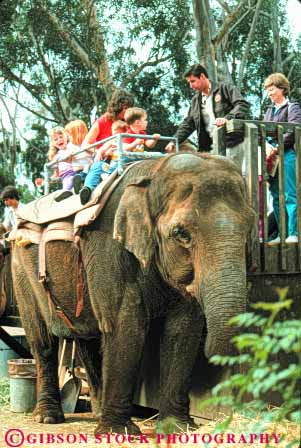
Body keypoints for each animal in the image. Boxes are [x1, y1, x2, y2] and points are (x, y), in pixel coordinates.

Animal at [11, 153, 253, 434]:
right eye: (181, 234)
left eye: (249, 227)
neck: (154, 173)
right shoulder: (109, 248)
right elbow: (126, 326)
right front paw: (118, 432)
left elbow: (183, 330)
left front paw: (177, 427)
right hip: (21, 270)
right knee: (43, 341)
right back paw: (48, 417)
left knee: (88, 338)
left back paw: (97, 411)